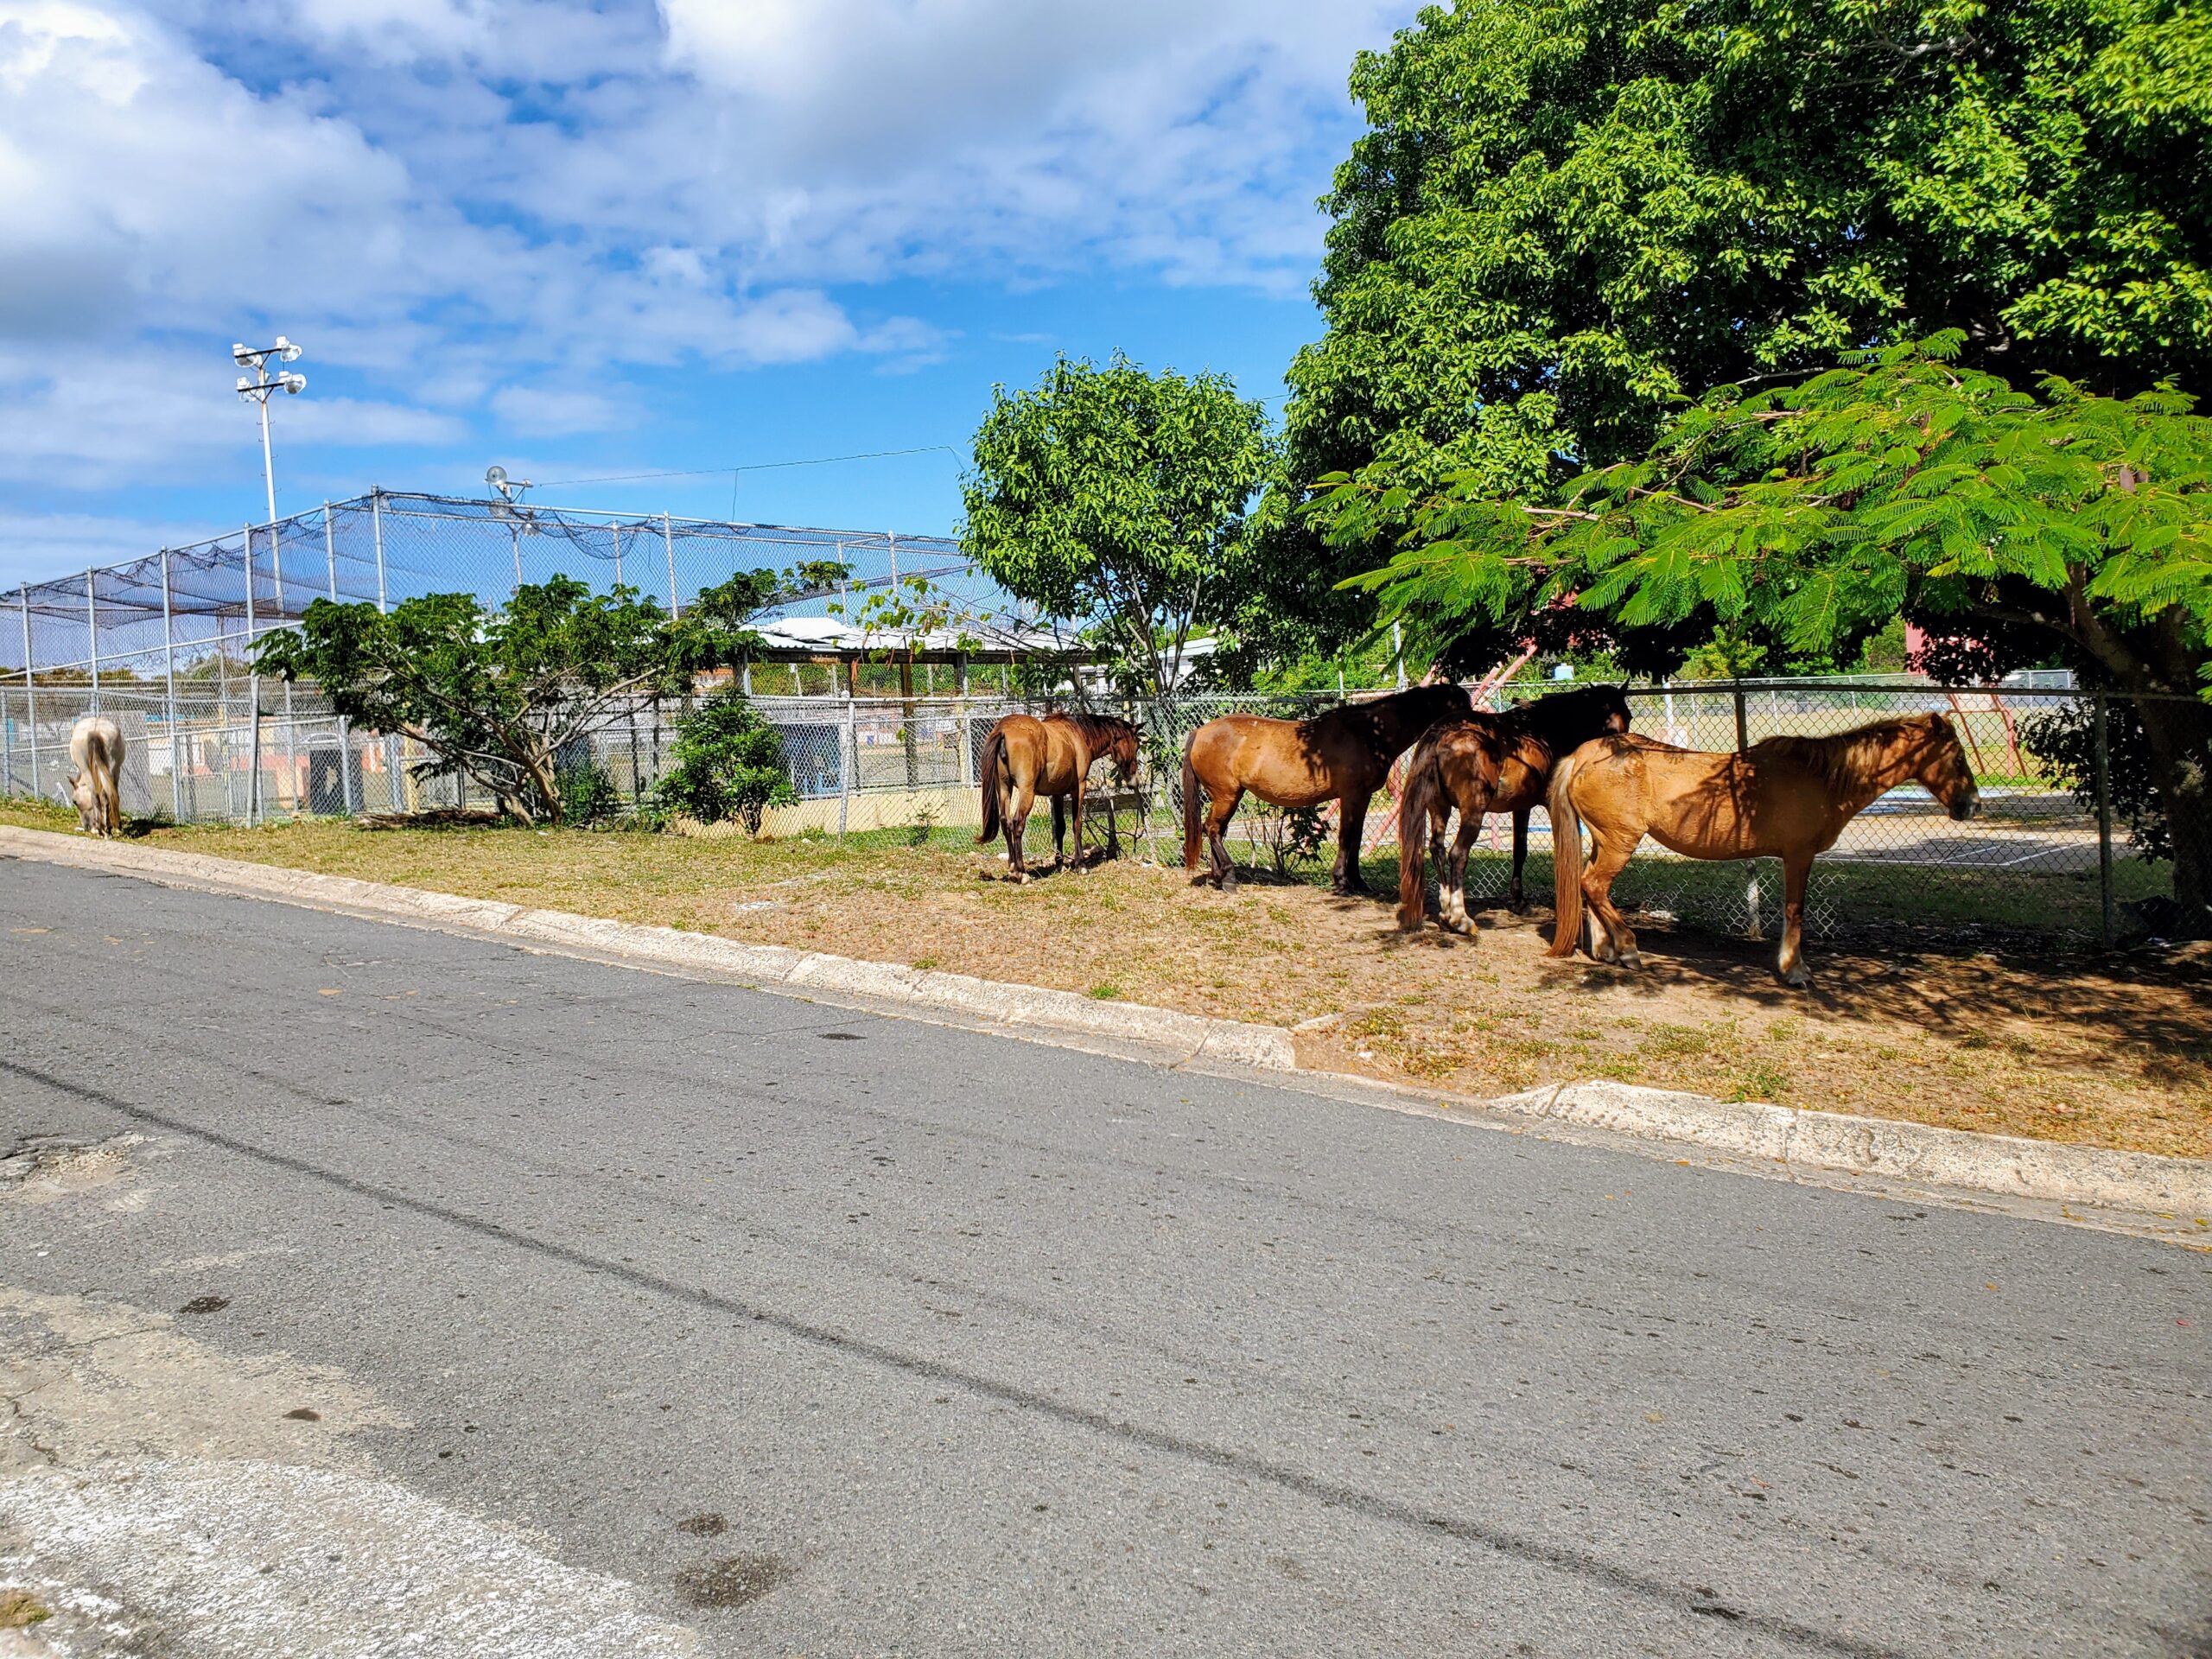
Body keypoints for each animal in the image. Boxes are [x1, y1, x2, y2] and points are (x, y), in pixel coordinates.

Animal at [64, 716, 124, 844]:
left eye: (74, 801)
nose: (86, 826)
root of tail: (94, 731)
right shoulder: (117, 771)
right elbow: (115, 796)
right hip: (109, 768)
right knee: (104, 796)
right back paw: (105, 830)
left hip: (89, 770)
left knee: (96, 796)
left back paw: (101, 830)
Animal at [977, 712, 1141, 885]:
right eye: (1136, 746)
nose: (1134, 781)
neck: (1078, 734)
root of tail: (1003, 731)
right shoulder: (1079, 788)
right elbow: (1077, 824)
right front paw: (1081, 865)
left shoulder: (1057, 794)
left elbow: (1060, 828)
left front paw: (1060, 864)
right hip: (1026, 791)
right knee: (1017, 823)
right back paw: (1021, 873)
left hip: (1004, 788)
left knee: (1005, 822)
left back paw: (1012, 867)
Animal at [1185, 681, 1478, 898]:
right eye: (1460, 707)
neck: (1369, 732)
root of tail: (1201, 732)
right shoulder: (1352, 795)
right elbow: (1347, 837)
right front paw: (1342, 882)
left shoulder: (1362, 797)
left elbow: (1356, 838)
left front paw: (1358, 882)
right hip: (1226, 794)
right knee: (1213, 829)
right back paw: (1229, 877)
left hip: (1228, 796)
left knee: (1215, 830)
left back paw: (1220, 877)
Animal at [1389, 677, 1637, 938]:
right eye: (1604, 717)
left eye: (1627, 715)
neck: (1548, 729)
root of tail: (1441, 733)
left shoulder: (1521, 807)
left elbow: (1520, 850)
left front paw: (1518, 901)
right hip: (1473, 812)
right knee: (1458, 854)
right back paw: (1460, 919)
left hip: (1439, 808)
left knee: (1437, 849)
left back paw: (1446, 913)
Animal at [1548, 716, 1981, 986]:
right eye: (1958, 757)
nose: (1972, 805)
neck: (1821, 778)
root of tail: (1587, 754)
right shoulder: (1798, 855)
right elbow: (1795, 911)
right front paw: (1794, 969)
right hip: (1620, 842)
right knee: (1595, 885)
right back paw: (1627, 949)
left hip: (1606, 840)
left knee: (1589, 885)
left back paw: (1605, 950)